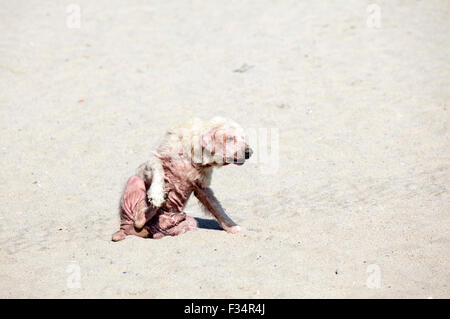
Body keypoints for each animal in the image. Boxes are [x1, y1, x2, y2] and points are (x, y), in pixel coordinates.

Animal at [111, 116, 253, 241]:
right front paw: (157, 195)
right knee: (138, 219)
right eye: (230, 138)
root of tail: (124, 229)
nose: (249, 152)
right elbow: (158, 169)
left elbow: (216, 207)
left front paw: (232, 226)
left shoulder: (201, 185)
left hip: (187, 223)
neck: (193, 153)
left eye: (243, 137)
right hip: (134, 181)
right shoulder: (154, 160)